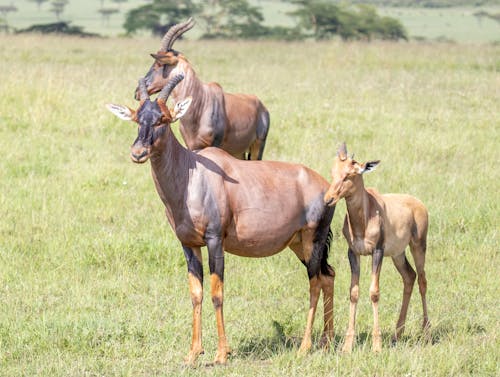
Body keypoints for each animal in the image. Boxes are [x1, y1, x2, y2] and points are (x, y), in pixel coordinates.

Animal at [108, 74, 338, 364]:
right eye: (138, 118)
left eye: (163, 118)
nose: (138, 153)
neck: (192, 174)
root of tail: (326, 185)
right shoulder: (188, 244)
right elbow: (196, 294)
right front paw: (193, 353)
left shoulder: (215, 240)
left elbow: (217, 294)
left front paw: (221, 354)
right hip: (298, 244)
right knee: (328, 275)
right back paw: (327, 341)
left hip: (313, 238)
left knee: (315, 283)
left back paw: (305, 347)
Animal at [135, 18, 272, 159]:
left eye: (159, 64)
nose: (137, 92)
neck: (201, 102)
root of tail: (262, 107)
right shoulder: (191, 146)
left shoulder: (214, 145)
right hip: (238, 151)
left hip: (257, 147)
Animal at [324, 142, 430, 352]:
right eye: (333, 172)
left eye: (349, 175)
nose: (328, 199)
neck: (364, 216)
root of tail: (419, 204)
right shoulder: (353, 253)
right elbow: (354, 292)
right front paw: (347, 346)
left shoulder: (377, 252)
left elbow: (374, 292)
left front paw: (377, 345)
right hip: (398, 254)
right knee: (409, 277)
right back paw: (397, 334)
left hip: (418, 246)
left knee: (422, 281)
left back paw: (426, 333)